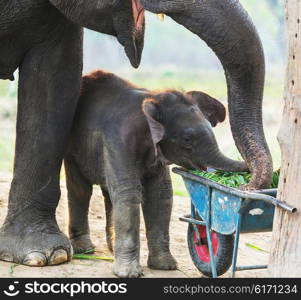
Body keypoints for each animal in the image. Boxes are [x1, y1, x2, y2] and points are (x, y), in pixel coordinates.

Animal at [65, 69, 246, 278]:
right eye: (187, 139)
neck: (152, 100)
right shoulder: (119, 141)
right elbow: (129, 194)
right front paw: (129, 274)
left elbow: (160, 195)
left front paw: (165, 266)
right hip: (73, 147)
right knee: (81, 189)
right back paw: (85, 250)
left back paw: (111, 249)